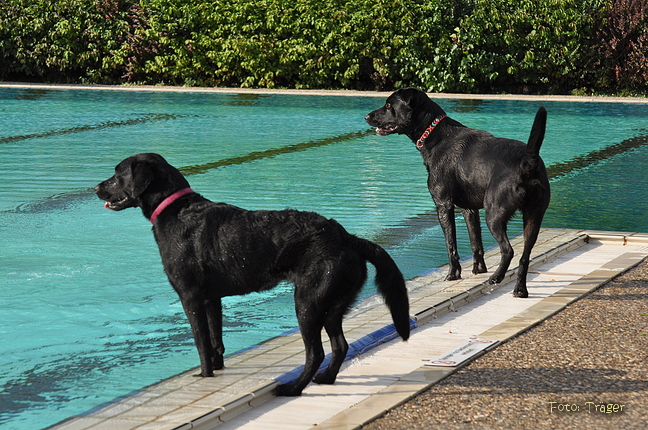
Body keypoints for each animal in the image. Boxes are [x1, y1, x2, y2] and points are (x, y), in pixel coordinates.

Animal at [95, 154, 410, 396]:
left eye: (117, 174)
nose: (96, 187)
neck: (175, 209)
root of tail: (347, 237)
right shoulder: (212, 299)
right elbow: (215, 340)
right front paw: (217, 369)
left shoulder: (190, 297)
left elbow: (200, 342)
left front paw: (204, 376)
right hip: (332, 304)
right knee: (340, 346)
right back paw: (326, 379)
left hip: (308, 302)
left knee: (316, 353)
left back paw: (293, 388)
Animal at [364, 89, 548, 298]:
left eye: (389, 105)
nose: (366, 117)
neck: (435, 134)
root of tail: (528, 162)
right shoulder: (469, 209)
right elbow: (476, 243)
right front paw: (478, 269)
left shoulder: (443, 204)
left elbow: (450, 244)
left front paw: (453, 274)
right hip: (533, 216)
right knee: (525, 256)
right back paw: (519, 290)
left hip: (494, 214)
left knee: (508, 250)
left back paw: (496, 277)